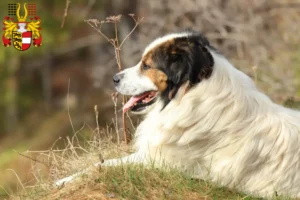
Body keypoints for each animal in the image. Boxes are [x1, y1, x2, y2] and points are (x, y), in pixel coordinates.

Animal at [56, 30, 300, 198]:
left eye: (146, 66)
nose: (114, 78)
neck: (190, 96)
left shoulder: (159, 163)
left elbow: (105, 164)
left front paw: (61, 182)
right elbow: (102, 163)